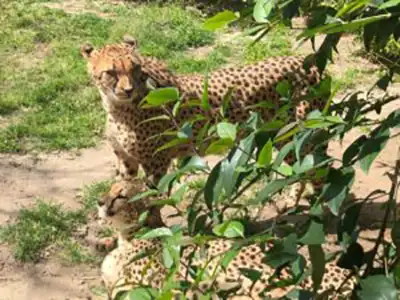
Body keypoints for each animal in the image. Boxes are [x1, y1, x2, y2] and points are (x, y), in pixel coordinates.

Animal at [80, 35, 328, 206]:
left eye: (135, 68)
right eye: (111, 72)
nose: (129, 90)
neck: (117, 107)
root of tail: (310, 63)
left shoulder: (156, 161)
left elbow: (152, 199)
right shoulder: (126, 160)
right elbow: (124, 191)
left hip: (300, 136)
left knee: (318, 168)